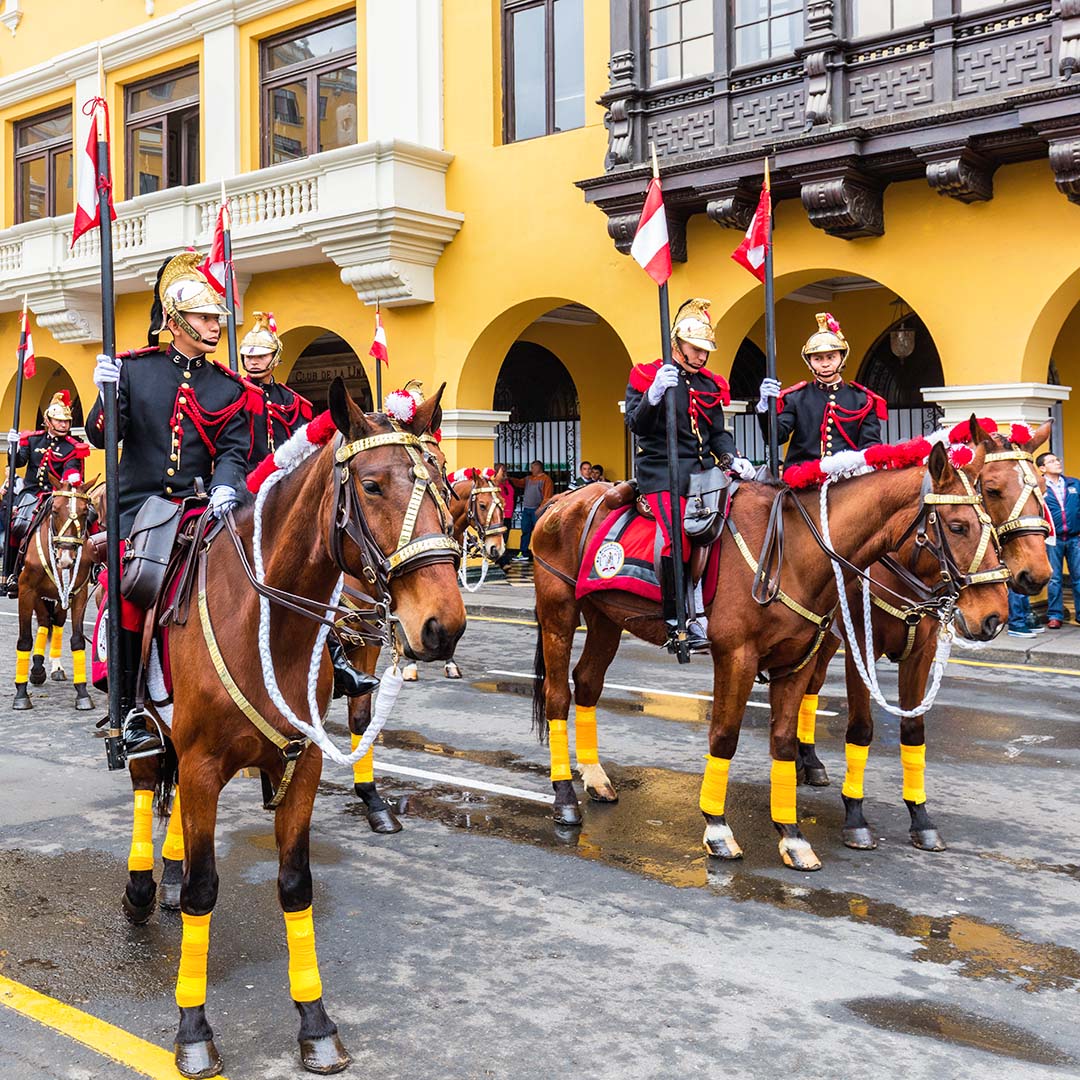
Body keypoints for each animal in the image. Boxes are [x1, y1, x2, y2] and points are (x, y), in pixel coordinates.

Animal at [11, 477, 97, 712]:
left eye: (85, 512)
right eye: (56, 510)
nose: (66, 558)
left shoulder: (78, 593)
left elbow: (77, 640)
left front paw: (82, 692)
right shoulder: (27, 591)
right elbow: (25, 640)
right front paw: (21, 694)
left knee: (54, 621)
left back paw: (52, 667)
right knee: (42, 621)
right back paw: (37, 669)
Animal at [119, 380, 464, 1071]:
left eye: (443, 483)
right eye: (372, 486)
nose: (444, 625)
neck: (268, 621)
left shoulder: (301, 760)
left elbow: (296, 885)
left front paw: (315, 1021)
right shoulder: (203, 765)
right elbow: (203, 890)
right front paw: (193, 1029)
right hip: (151, 729)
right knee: (146, 777)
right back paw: (144, 884)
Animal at [529, 438, 1002, 868]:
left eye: (992, 525)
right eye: (957, 526)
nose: (995, 616)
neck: (795, 550)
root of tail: (563, 498)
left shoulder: (797, 661)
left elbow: (784, 742)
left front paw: (791, 835)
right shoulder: (737, 657)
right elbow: (724, 736)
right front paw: (717, 829)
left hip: (606, 619)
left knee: (587, 683)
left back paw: (595, 778)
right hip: (558, 613)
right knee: (558, 697)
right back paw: (565, 797)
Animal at [799, 421, 1049, 851]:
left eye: (1042, 487)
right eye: (992, 489)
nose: (1038, 575)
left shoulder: (922, 653)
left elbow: (913, 731)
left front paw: (920, 817)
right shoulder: (861, 649)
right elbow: (861, 729)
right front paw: (855, 816)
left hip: (826, 636)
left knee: (808, 689)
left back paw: (808, 761)